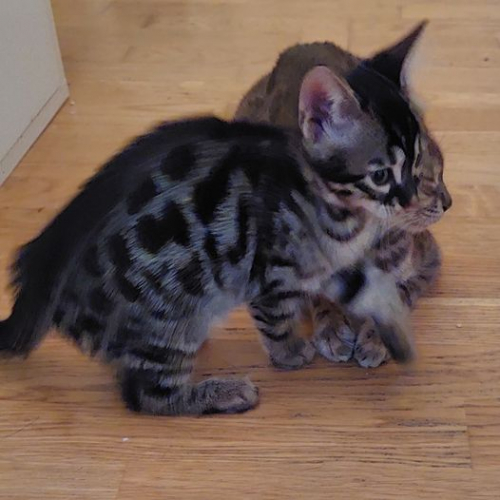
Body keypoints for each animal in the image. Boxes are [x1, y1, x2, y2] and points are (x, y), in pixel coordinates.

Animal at [236, 22, 452, 368]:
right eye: (389, 174)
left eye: (436, 165)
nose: (447, 202)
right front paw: (332, 325)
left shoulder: (428, 258)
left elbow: (401, 289)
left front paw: (376, 336)